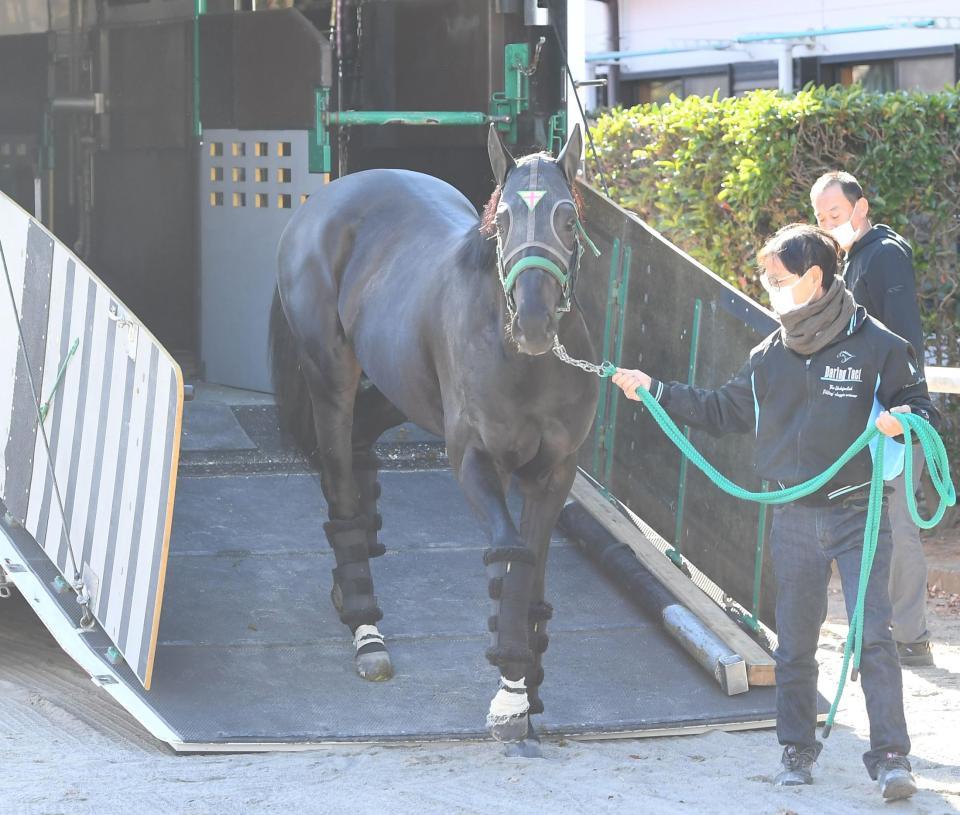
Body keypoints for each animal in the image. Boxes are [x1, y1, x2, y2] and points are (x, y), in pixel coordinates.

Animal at [270, 124, 600, 744]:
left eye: (568, 218)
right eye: (505, 219)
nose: (535, 322)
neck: (523, 363)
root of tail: (329, 198)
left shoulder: (554, 472)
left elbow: (534, 565)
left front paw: (528, 687)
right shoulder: (475, 462)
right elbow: (512, 556)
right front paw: (511, 695)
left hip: (401, 389)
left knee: (357, 446)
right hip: (331, 377)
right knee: (339, 473)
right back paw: (365, 626)